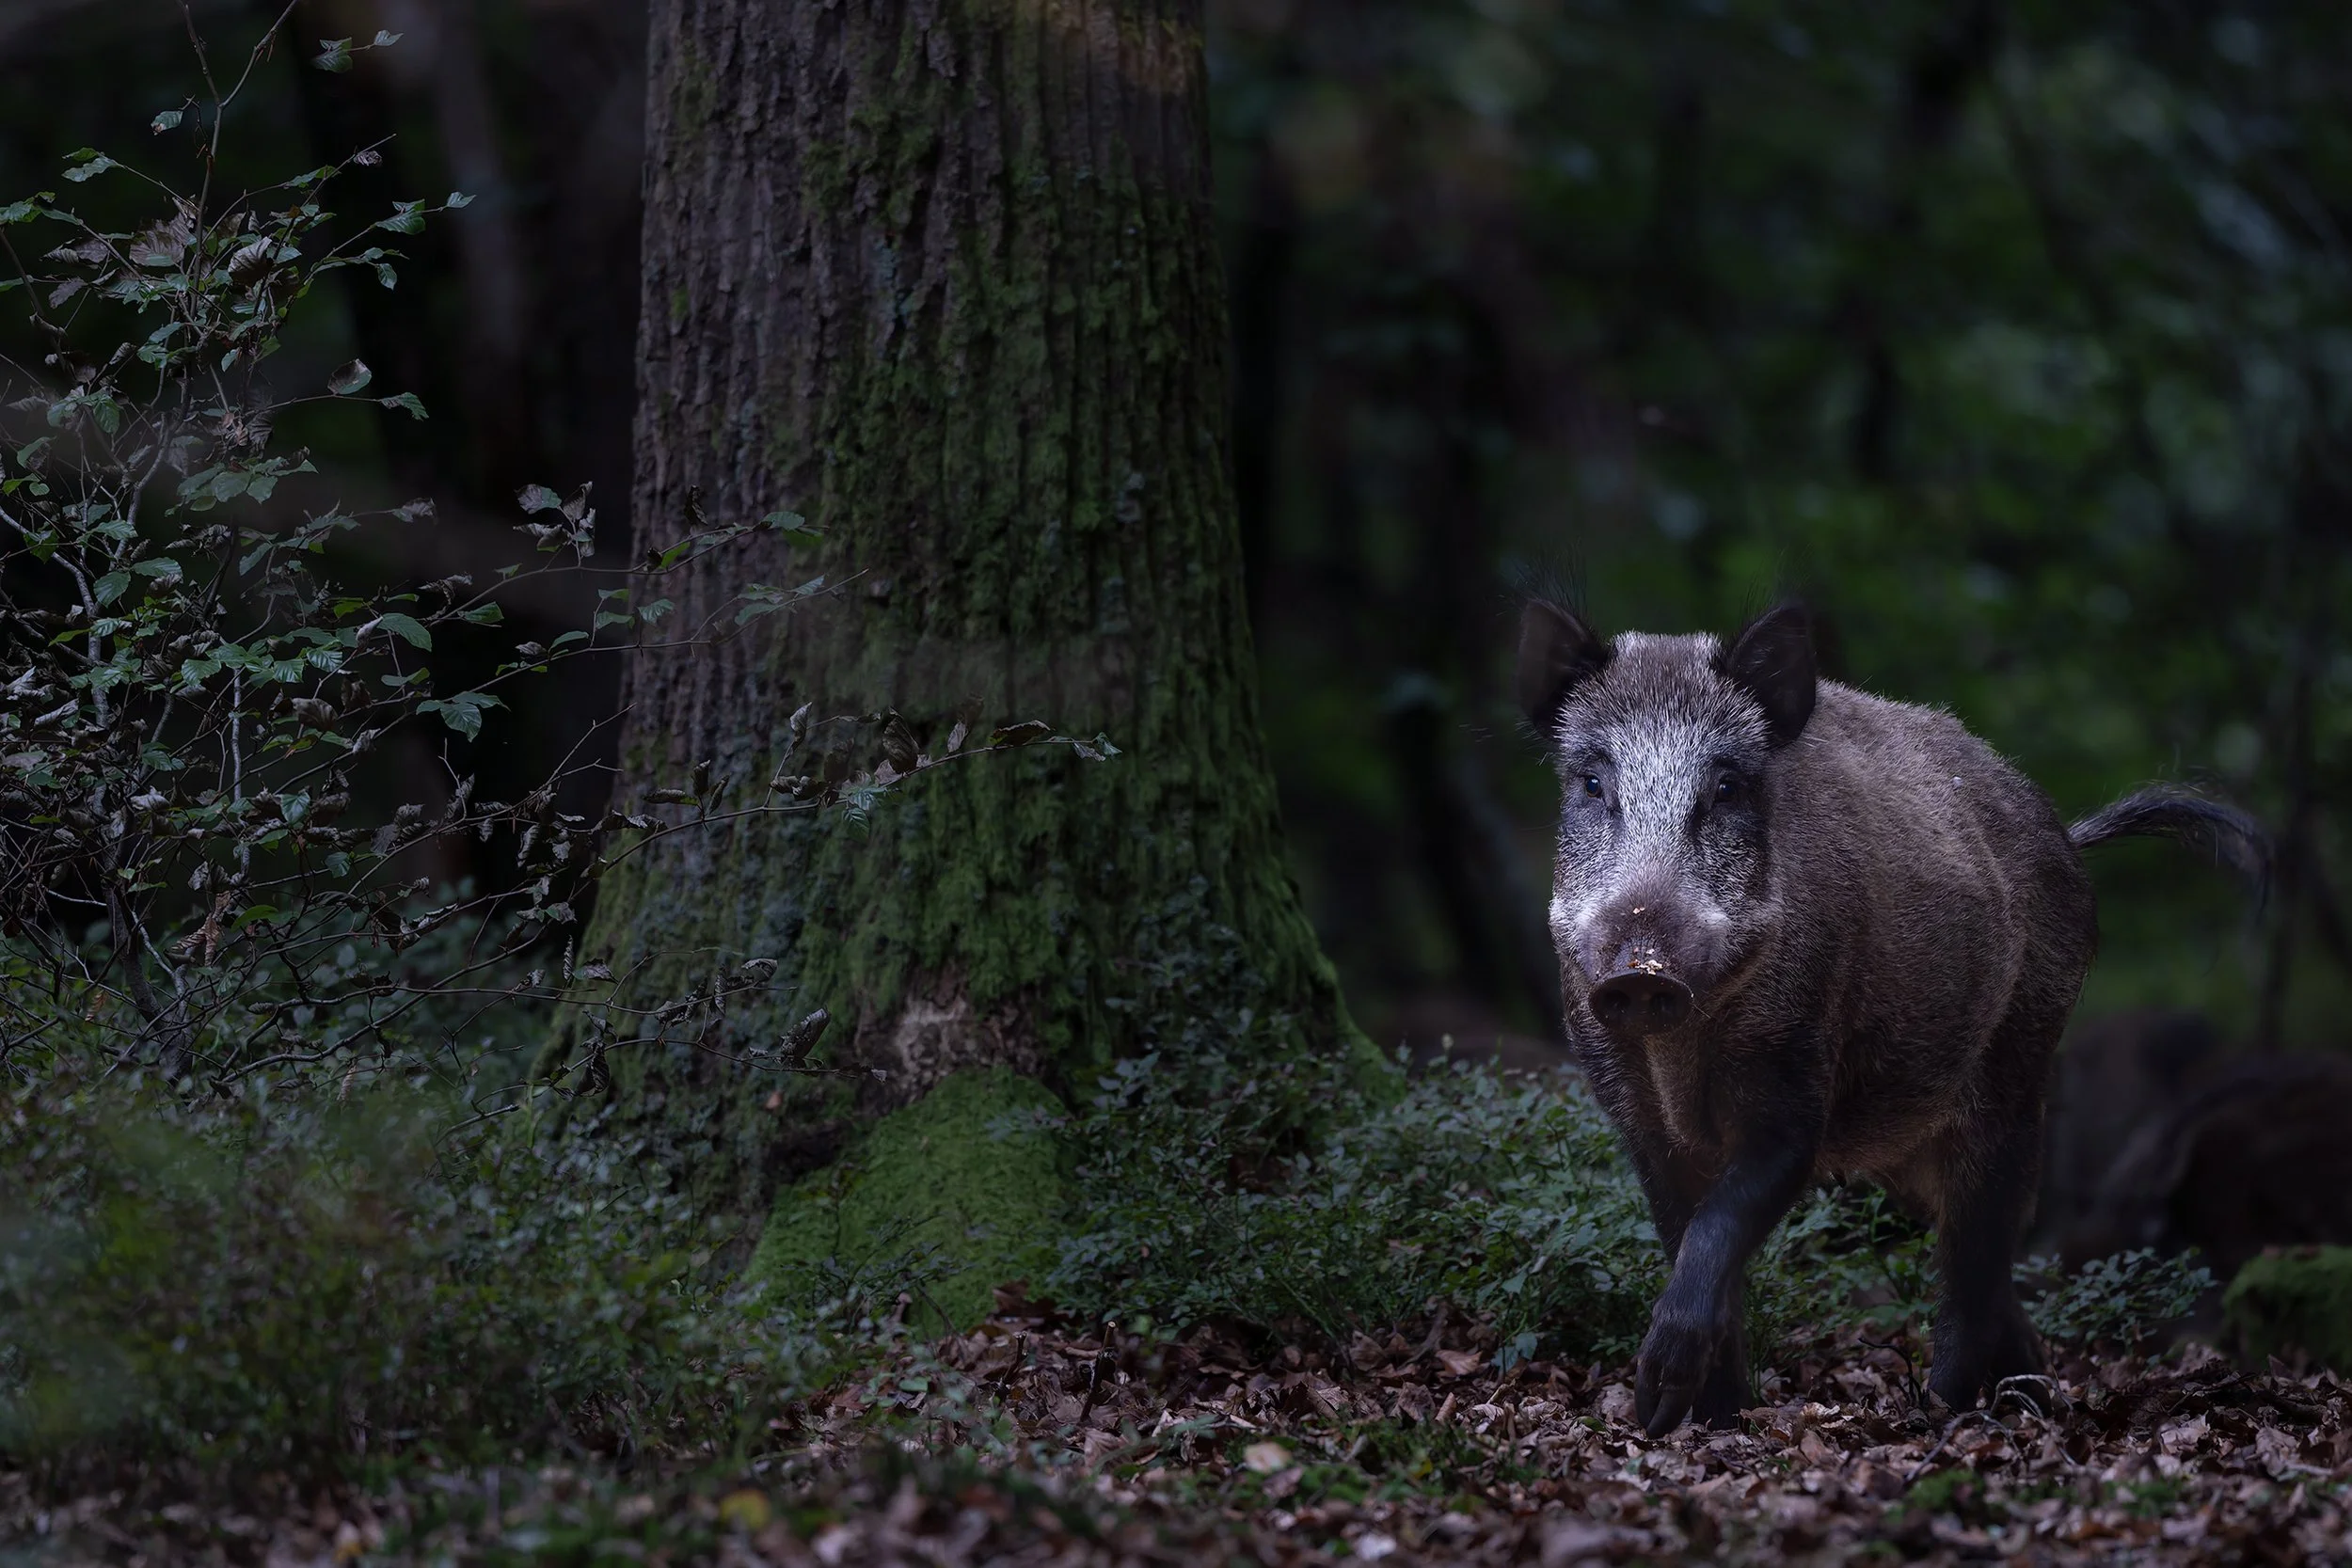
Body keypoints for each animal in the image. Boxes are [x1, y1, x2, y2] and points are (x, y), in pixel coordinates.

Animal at [1517, 600, 2268, 1434]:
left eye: (1727, 785)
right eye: (1591, 781)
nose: (1640, 971)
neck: (1680, 1052)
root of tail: (2068, 837)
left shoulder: (1799, 1084)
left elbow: (1723, 1222)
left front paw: (1661, 1400)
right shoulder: (1634, 1116)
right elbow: (1692, 1240)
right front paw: (1698, 1421)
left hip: (2019, 1070)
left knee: (1975, 1262)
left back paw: (1949, 1414)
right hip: (1910, 1149)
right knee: (1993, 1278)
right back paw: (2032, 1406)